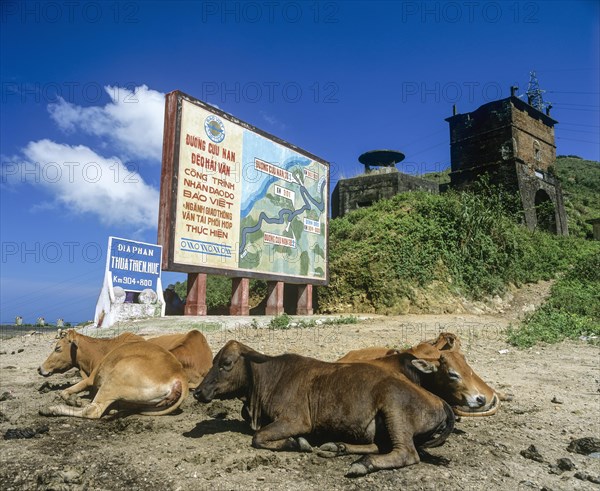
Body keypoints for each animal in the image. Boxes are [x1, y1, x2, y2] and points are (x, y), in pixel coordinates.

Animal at [37, 336, 188, 420]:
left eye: (57, 348)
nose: (39, 368)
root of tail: (179, 375)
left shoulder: (90, 379)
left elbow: (65, 391)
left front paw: (74, 400)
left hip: (116, 377)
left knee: (92, 411)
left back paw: (51, 409)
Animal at [195, 342, 452, 476]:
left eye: (226, 363)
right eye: (213, 361)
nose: (197, 391)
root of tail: (439, 401)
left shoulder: (296, 421)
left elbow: (258, 437)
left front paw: (297, 443)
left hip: (394, 408)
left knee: (407, 453)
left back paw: (362, 464)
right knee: (379, 445)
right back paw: (337, 447)